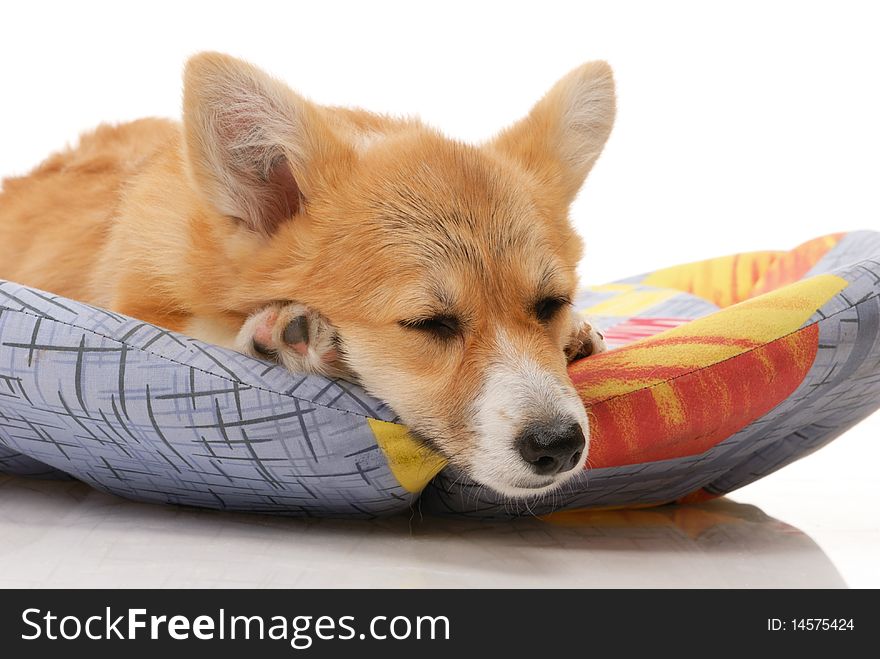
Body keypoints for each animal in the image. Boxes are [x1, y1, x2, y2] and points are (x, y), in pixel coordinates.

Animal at [0, 52, 616, 496]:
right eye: (428, 324)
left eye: (550, 305)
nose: (559, 446)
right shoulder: (134, 301)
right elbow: (202, 329)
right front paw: (282, 335)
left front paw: (580, 335)